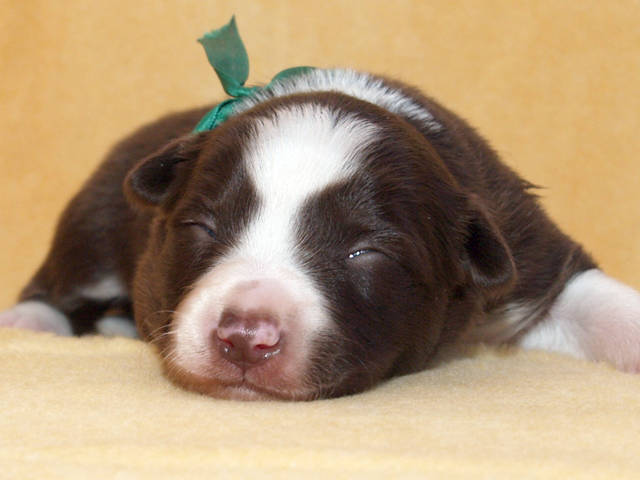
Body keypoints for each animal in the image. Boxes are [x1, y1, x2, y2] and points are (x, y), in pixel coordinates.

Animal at [2, 69, 640, 400]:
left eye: (365, 251)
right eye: (202, 226)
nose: (244, 337)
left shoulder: (527, 248)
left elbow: (603, 304)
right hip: (95, 220)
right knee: (57, 282)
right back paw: (26, 325)